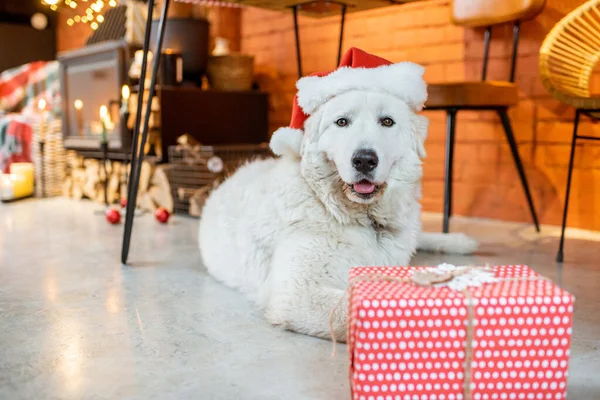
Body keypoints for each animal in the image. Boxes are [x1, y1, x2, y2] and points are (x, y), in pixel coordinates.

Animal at [199, 47, 476, 340]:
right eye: (342, 122)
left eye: (387, 121)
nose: (364, 160)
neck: (363, 221)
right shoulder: (298, 293)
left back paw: (460, 241)